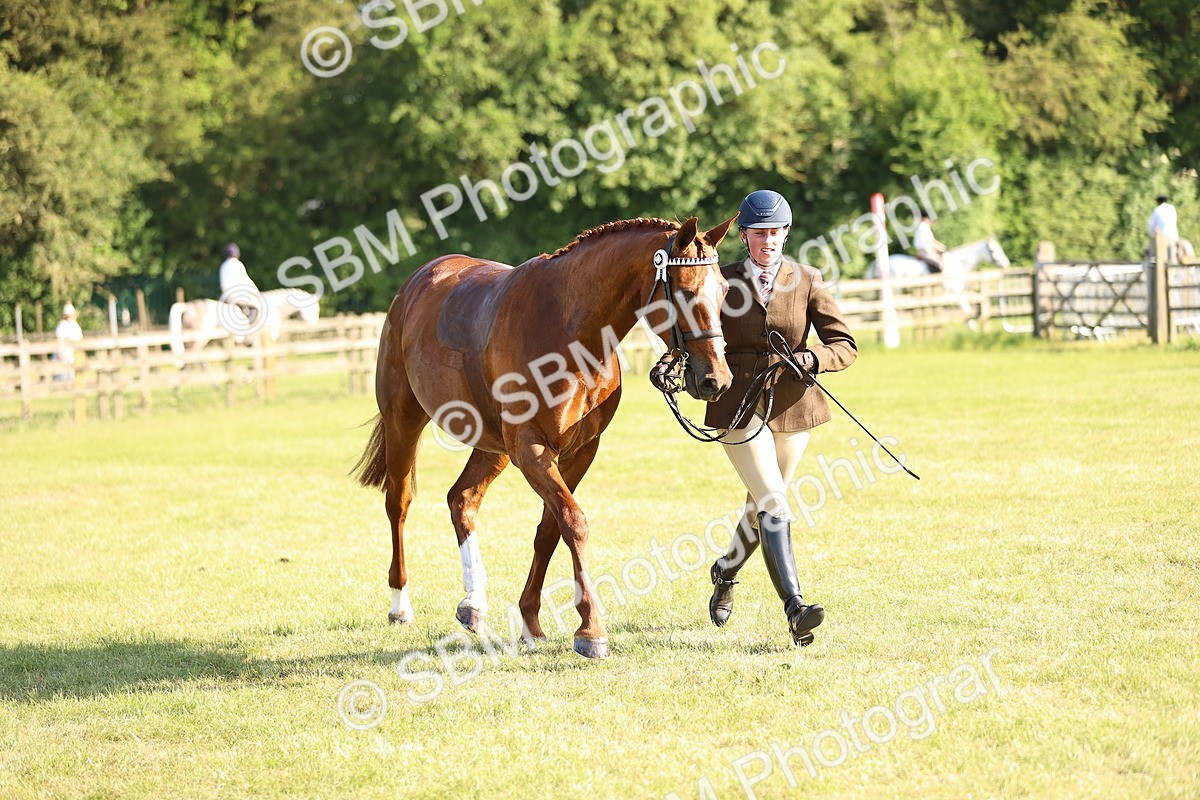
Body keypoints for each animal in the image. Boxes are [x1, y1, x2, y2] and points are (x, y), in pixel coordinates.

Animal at [352, 216, 736, 659]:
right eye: (687, 292)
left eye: (725, 291)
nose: (716, 379)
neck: (572, 332)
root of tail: (416, 281)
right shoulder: (531, 449)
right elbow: (573, 522)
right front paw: (591, 630)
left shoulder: (579, 452)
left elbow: (549, 530)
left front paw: (531, 622)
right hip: (405, 422)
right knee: (398, 503)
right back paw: (400, 605)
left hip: (494, 447)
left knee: (462, 499)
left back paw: (474, 603)